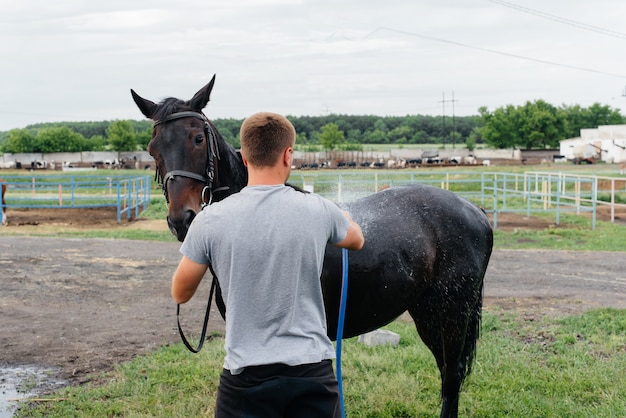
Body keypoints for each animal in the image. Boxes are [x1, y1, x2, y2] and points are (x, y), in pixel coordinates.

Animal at [132, 76, 492, 418]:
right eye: (152, 148)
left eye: (198, 138)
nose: (182, 219)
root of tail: (475, 211)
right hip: (426, 312)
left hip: (452, 313)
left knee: (452, 374)